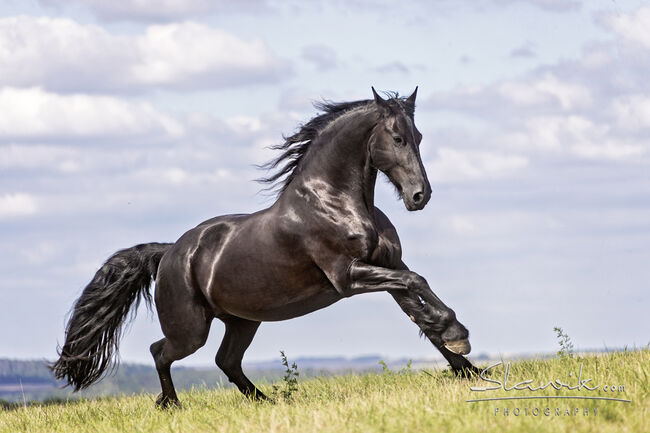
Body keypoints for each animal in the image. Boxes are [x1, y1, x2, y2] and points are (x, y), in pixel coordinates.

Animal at [50, 87, 476, 404]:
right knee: (161, 352)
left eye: (419, 137)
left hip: (242, 320)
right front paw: (460, 336)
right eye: (398, 138)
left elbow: (420, 309)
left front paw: (467, 365)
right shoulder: (348, 277)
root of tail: (169, 252)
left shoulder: (389, 267)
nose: (420, 196)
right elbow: (419, 286)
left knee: (226, 361)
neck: (337, 202)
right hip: (191, 329)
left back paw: (265, 401)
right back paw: (171, 405)